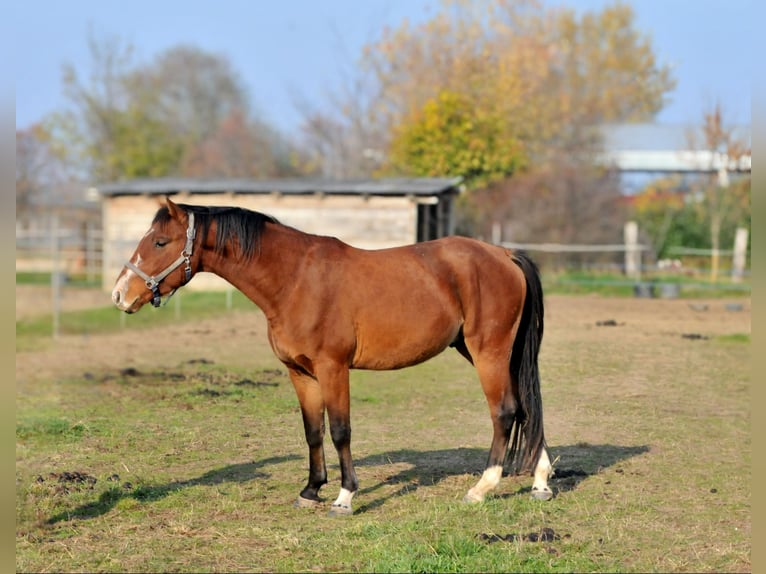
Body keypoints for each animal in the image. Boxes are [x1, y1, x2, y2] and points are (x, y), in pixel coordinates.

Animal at [112, 198, 552, 516]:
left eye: (159, 242)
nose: (120, 295)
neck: (294, 280)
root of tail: (503, 255)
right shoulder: (300, 372)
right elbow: (313, 431)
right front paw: (310, 490)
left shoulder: (333, 368)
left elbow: (341, 430)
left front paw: (344, 496)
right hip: (488, 353)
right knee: (526, 408)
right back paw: (540, 482)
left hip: (488, 352)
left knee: (505, 412)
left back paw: (482, 488)